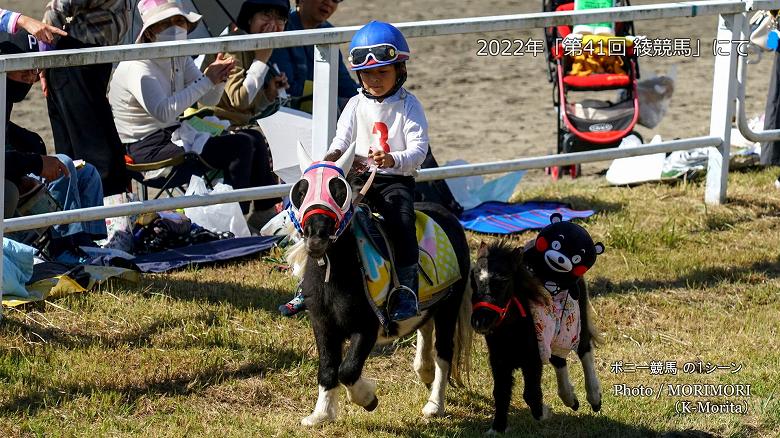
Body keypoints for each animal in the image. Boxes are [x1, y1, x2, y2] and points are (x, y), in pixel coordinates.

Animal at [284, 144, 470, 428]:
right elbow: (327, 368)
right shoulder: (323, 324)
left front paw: (368, 398)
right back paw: (424, 371)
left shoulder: (367, 328)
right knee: (424, 327)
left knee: (444, 352)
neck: (334, 274)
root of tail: (448, 216)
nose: (317, 237)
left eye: (340, 192)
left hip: (451, 305)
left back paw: (434, 406)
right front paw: (320, 415)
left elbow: (347, 370)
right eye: (301, 191)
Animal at [470, 214, 604, 432]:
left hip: (577, 322)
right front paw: (497, 428)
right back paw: (571, 399)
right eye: (473, 279)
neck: (511, 331)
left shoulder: (532, 359)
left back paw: (593, 397)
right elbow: (500, 392)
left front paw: (545, 412)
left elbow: (530, 394)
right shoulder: (499, 361)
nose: (480, 321)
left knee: (585, 350)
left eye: (504, 281)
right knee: (559, 360)